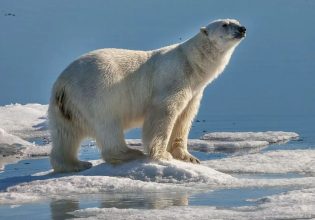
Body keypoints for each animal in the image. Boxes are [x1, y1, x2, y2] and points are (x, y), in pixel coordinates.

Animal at [49, 18, 247, 173]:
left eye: (236, 21)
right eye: (225, 24)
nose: (242, 29)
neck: (191, 64)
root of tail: (63, 83)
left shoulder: (194, 92)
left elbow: (184, 118)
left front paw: (188, 157)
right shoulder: (172, 79)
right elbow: (163, 112)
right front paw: (162, 154)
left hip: (66, 107)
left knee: (66, 133)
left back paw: (74, 164)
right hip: (97, 93)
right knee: (108, 124)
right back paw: (129, 152)